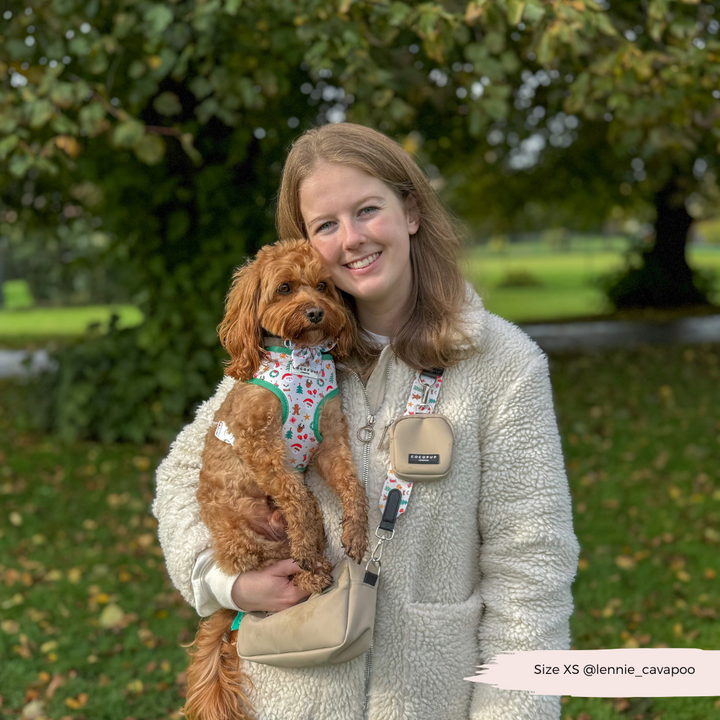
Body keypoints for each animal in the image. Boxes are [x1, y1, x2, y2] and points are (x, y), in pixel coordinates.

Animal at [183, 240, 368, 720]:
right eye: (284, 288)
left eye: (323, 286)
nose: (316, 312)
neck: (301, 358)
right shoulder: (258, 444)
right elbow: (296, 494)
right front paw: (308, 532)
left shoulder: (331, 441)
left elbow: (353, 486)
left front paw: (357, 532)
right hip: (245, 541)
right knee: (282, 565)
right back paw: (309, 568)